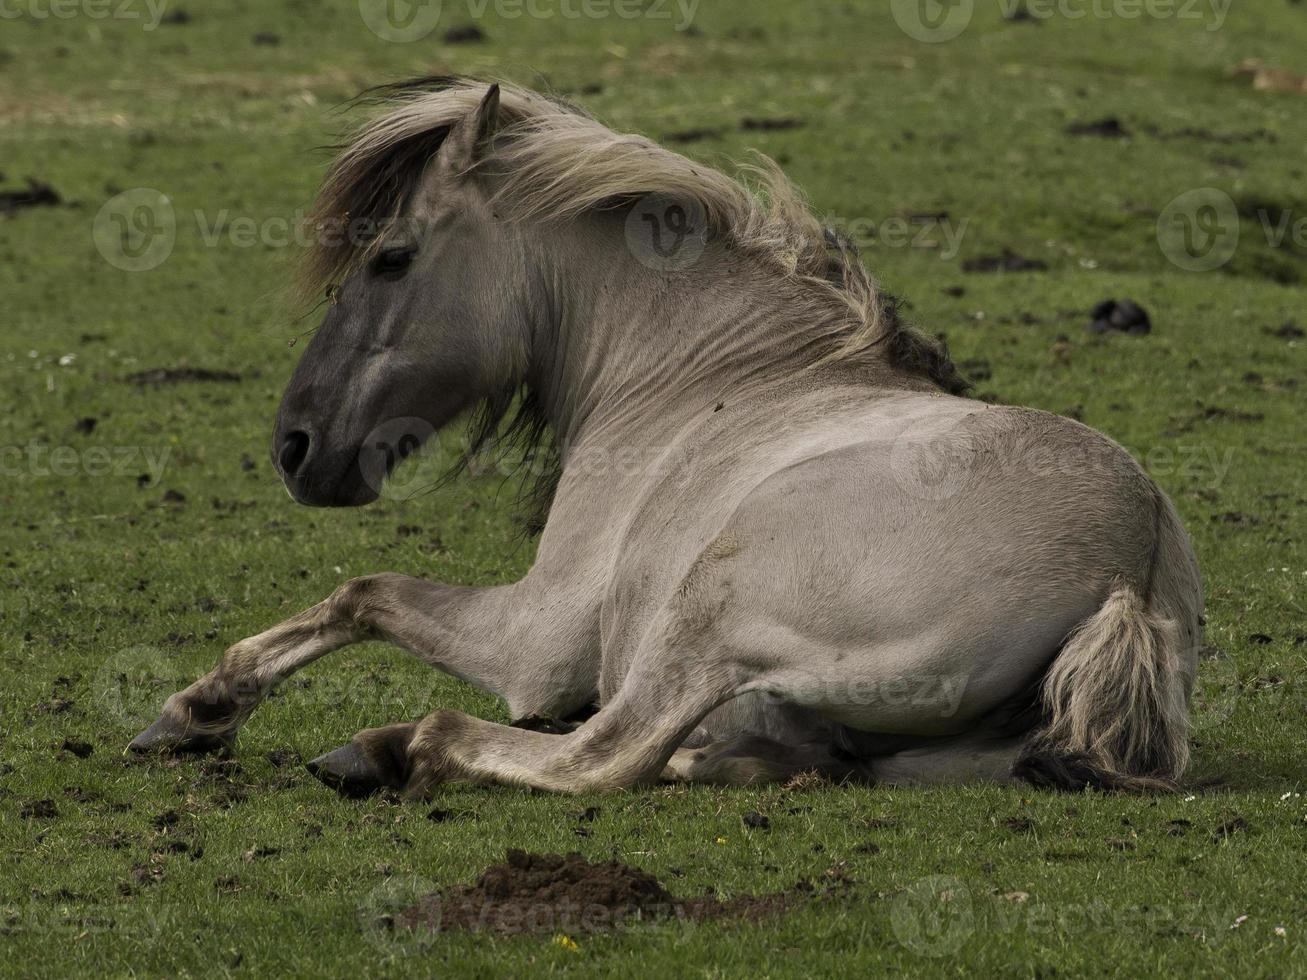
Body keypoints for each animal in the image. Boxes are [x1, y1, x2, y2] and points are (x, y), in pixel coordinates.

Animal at [127, 76, 1197, 799]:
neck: (704, 373)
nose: (296, 446)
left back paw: (395, 747)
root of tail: (1125, 575)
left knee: (601, 755)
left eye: (391, 257)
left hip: (704, 606)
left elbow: (364, 593)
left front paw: (198, 708)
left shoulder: (536, 640)